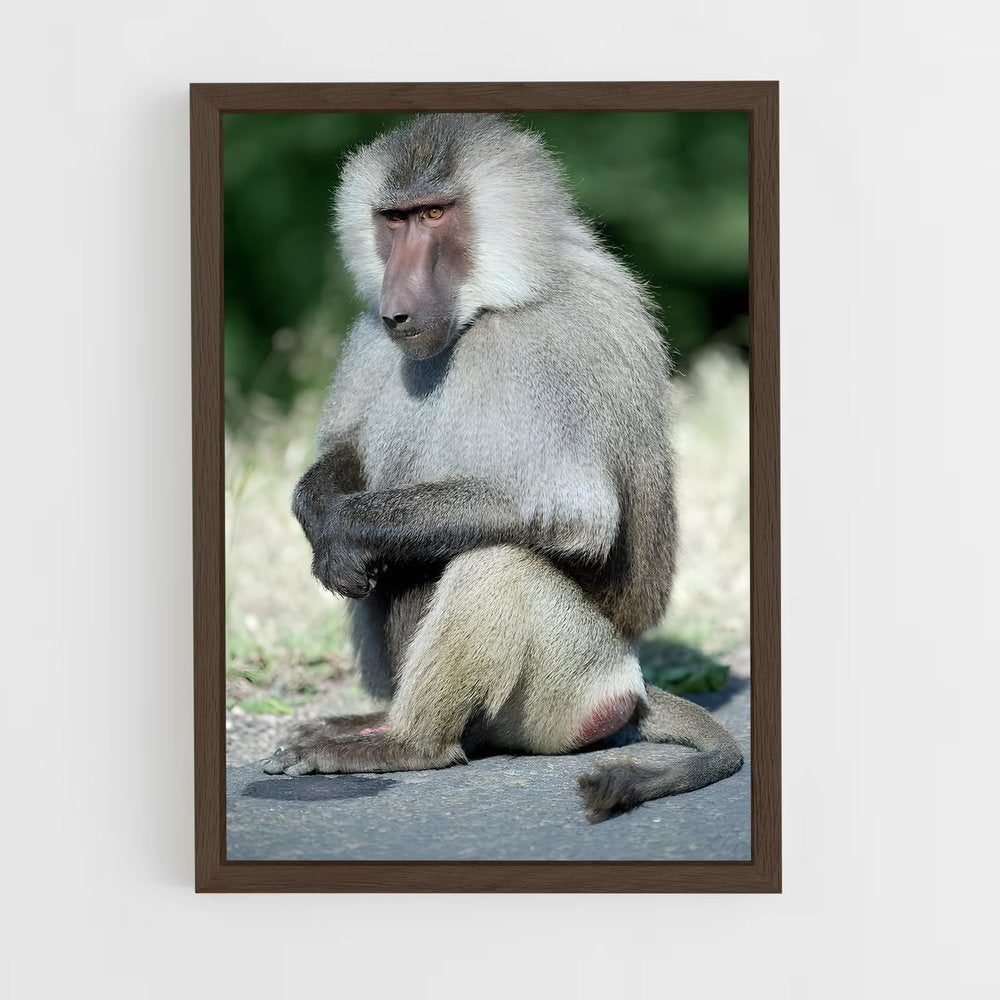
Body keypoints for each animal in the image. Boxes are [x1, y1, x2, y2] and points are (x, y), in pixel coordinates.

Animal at [262, 113, 744, 823]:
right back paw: (372, 722)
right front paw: (321, 517)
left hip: (572, 683)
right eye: (394, 219)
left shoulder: (557, 346)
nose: (397, 306)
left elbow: (574, 516)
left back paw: (404, 744)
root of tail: (631, 687)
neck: (486, 311)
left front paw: (345, 533)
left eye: (434, 214)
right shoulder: (371, 338)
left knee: (499, 562)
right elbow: (345, 454)